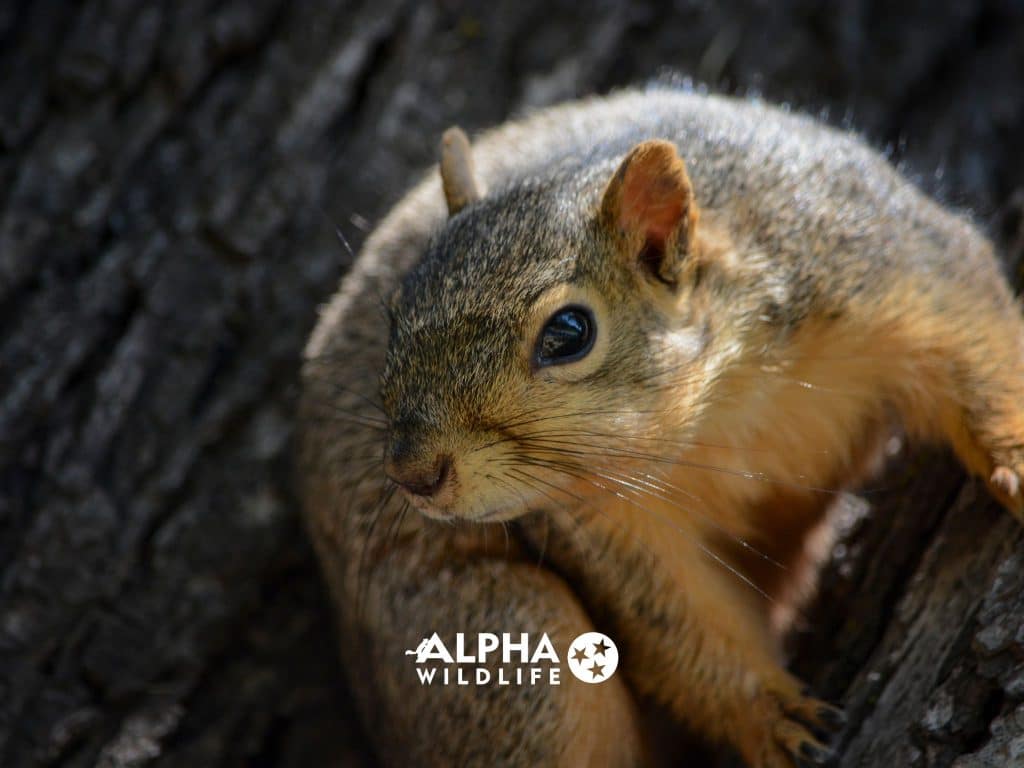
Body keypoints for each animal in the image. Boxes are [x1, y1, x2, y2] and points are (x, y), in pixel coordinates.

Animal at [296, 85, 1024, 768]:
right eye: (397, 313)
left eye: (569, 333)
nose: (413, 474)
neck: (718, 400)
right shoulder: (608, 526)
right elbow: (680, 624)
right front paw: (775, 721)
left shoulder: (886, 263)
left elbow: (976, 343)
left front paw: (1016, 460)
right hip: (508, 648)